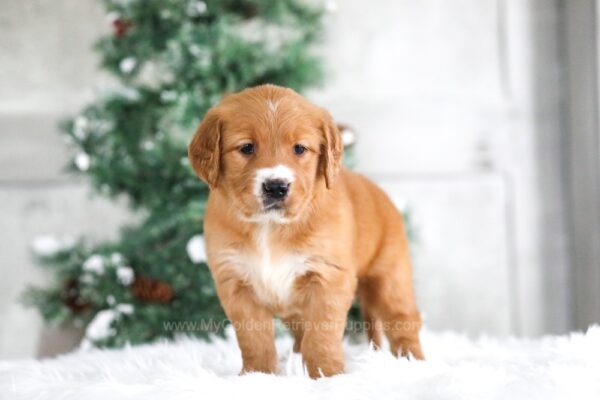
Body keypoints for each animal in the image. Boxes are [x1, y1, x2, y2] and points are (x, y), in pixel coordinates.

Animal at [188, 84, 422, 378]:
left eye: (300, 148)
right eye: (246, 148)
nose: (276, 186)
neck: (270, 226)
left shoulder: (328, 277)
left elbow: (322, 334)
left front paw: (326, 374)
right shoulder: (235, 281)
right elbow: (253, 338)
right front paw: (257, 375)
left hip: (390, 279)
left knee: (403, 320)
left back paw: (413, 362)